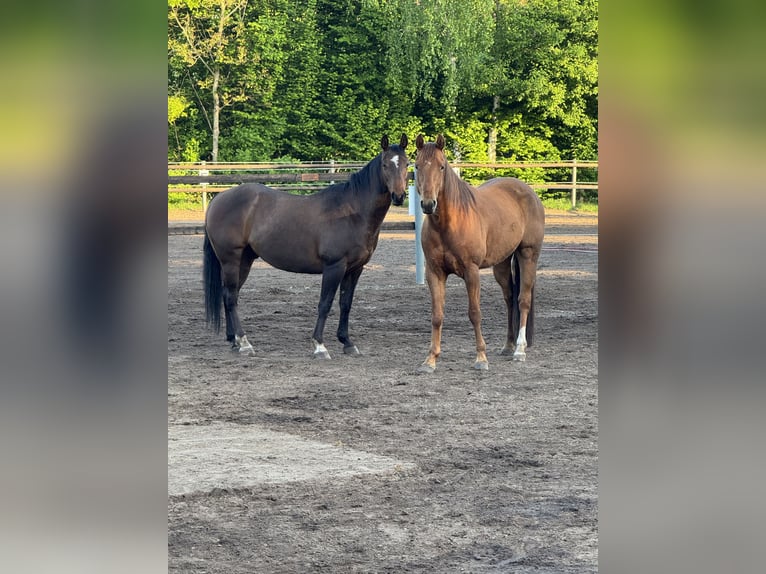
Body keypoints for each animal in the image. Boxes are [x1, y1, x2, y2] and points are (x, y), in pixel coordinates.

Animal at [203, 134, 409, 359]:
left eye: (406, 164)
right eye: (385, 164)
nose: (399, 196)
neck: (352, 211)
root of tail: (218, 199)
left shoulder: (355, 269)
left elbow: (345, 304)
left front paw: (347, 342)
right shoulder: (334, 267)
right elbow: (325, 304)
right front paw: (319, 346)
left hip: (245, 260)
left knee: (229, 295)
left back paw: (234, 341)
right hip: (230, 260)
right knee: (231, 297)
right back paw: (244, 342)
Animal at [414, 134, 545, 372]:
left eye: (441, 166)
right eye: (417, 166)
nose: (428, 204)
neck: (448, 224)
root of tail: (528, 191)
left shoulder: (471, 272)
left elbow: (475, 313)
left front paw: (481, 358)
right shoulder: (434, 273)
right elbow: (437, 315)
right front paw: (430, 360)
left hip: (528, 255)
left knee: (523, 299)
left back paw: (519, 350)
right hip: (501, 265)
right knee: (509, 298)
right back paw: (508, 346)